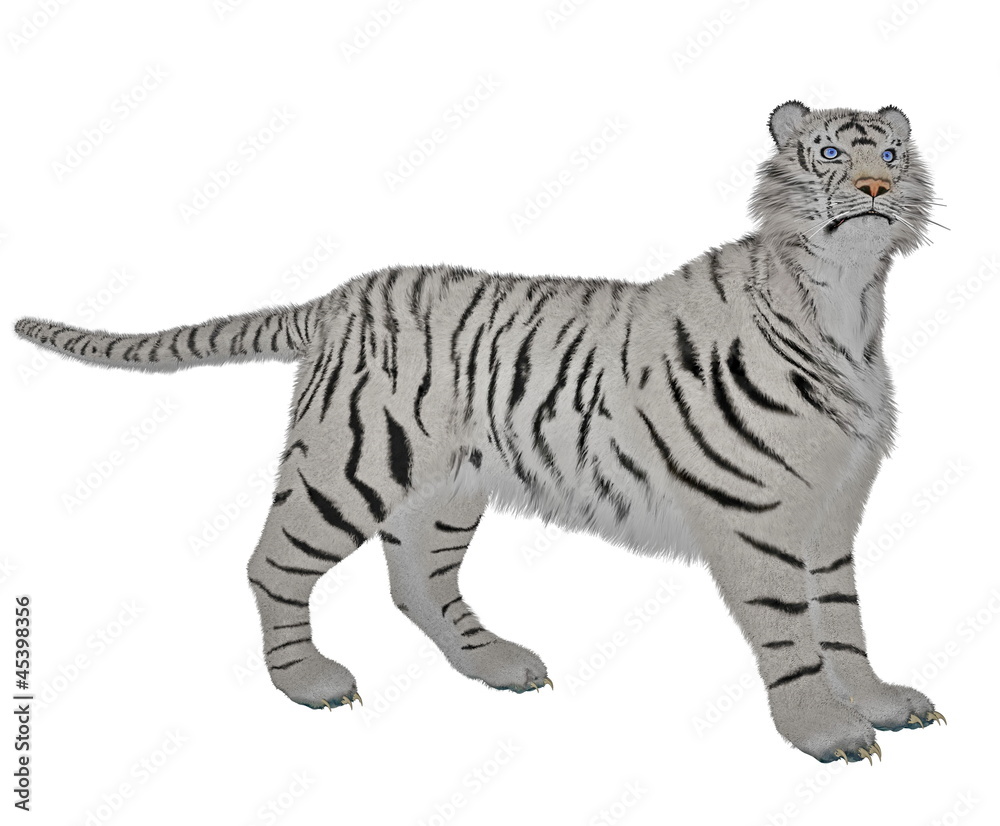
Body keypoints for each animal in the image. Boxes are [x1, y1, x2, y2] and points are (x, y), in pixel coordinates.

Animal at [15, 101, 946, 764]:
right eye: (832, 153)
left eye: (891, 154)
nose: (875, 189)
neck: (848, 301)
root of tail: (335, 298)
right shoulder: (757, 517)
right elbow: (791, 633)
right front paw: (824, 731)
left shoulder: (830, 511)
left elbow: (843, 619)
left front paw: (878, 702)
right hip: (344, 470)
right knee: (270, 564)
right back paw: (307, 682)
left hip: (443, 490)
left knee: (417, 583)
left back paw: (497, 665)